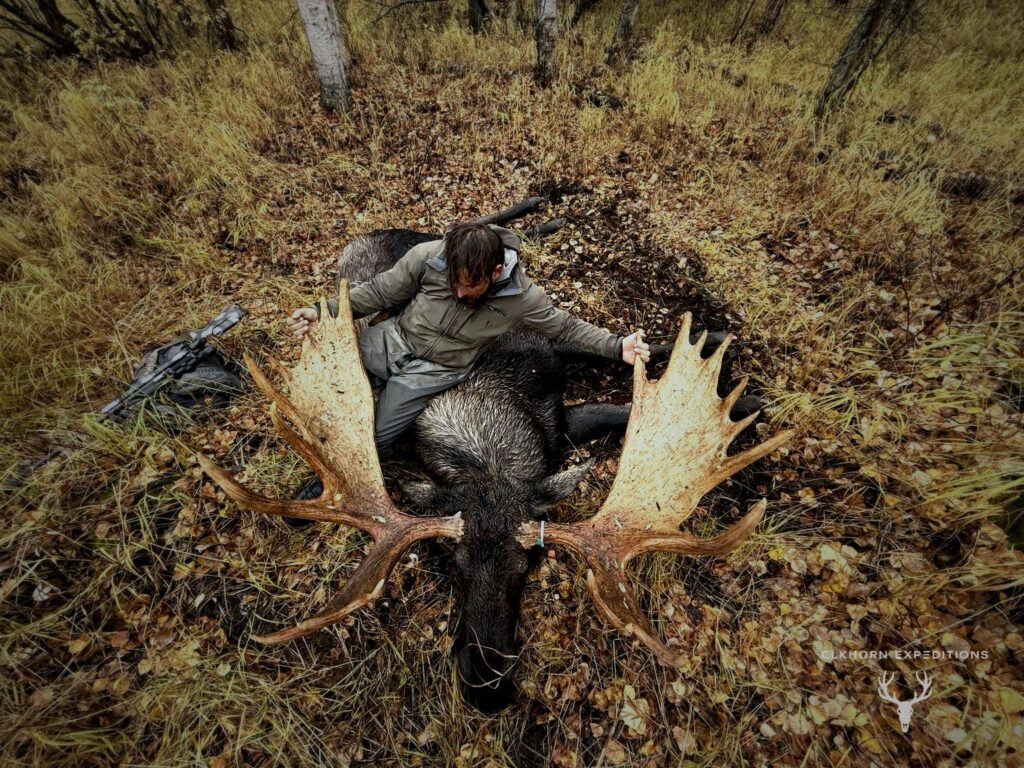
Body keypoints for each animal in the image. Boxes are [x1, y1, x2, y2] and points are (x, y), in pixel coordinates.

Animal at [196, 224, 794, 711]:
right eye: (450, 565)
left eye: (528, 566)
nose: (487, 687)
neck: (493, 429)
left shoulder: (550, 383)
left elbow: (608, 378)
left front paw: (737, 386)